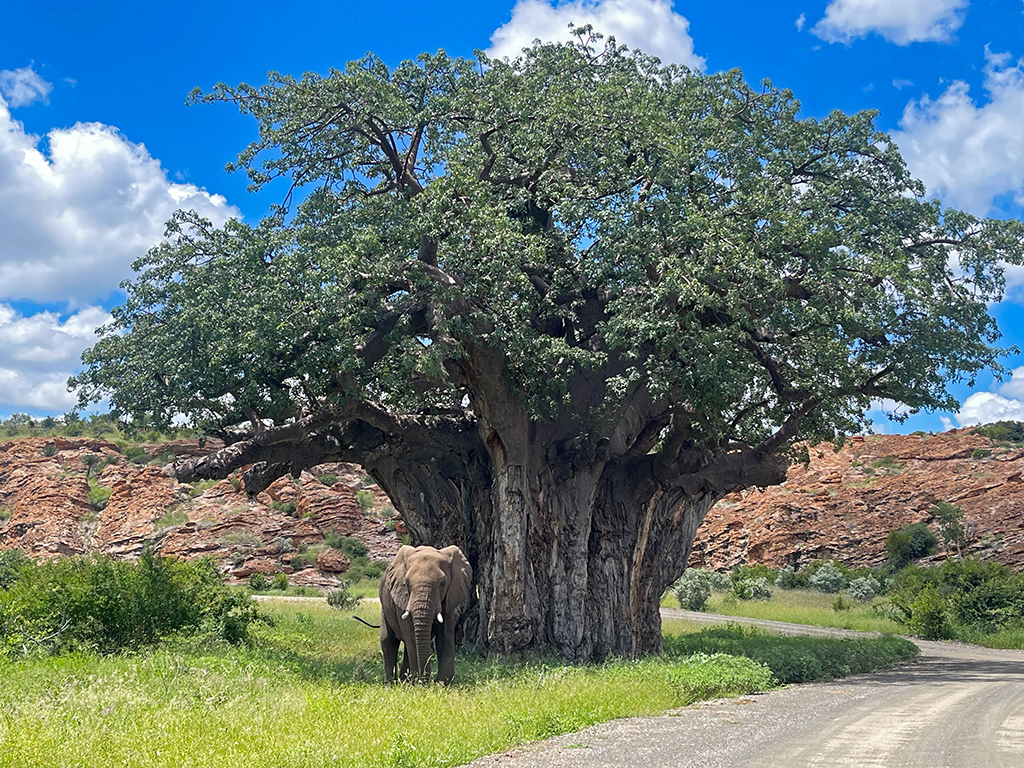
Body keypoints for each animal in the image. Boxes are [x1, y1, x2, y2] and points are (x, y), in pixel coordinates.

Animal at [379, 544, 473, 684]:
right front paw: (419, 683)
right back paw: (392, 684)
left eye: (443, 583)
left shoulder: (449, 598)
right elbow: (411, 635)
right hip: (384, 610)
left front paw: (442, 683)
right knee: (388, 642)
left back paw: (404, 681)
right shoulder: (401, 598)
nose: (426, 681)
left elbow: (445, 635)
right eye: (407, 583)